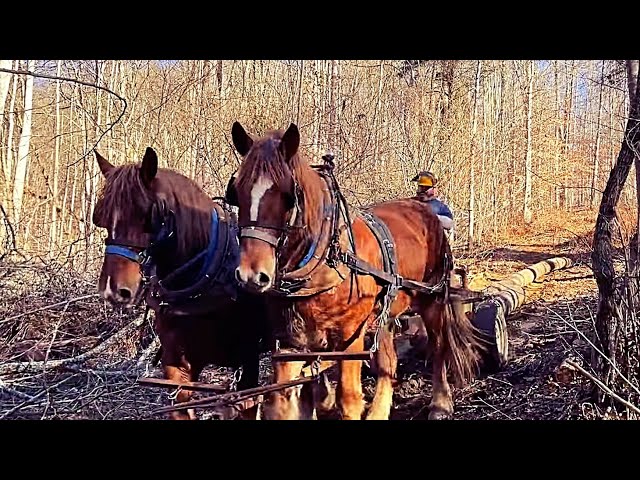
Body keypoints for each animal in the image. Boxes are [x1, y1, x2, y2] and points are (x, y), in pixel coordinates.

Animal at [227, 121, 486, 420]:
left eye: (288, 196)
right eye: (237, 192)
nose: (251, 275)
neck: (324, 259)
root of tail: (423, 208)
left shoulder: (350, 337)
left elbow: (348, 399)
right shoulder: (290, 341)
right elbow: (285, 400)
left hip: (432, 298)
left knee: (438, 347)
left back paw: (440, 403)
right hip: (387, 313)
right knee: (388, 363)